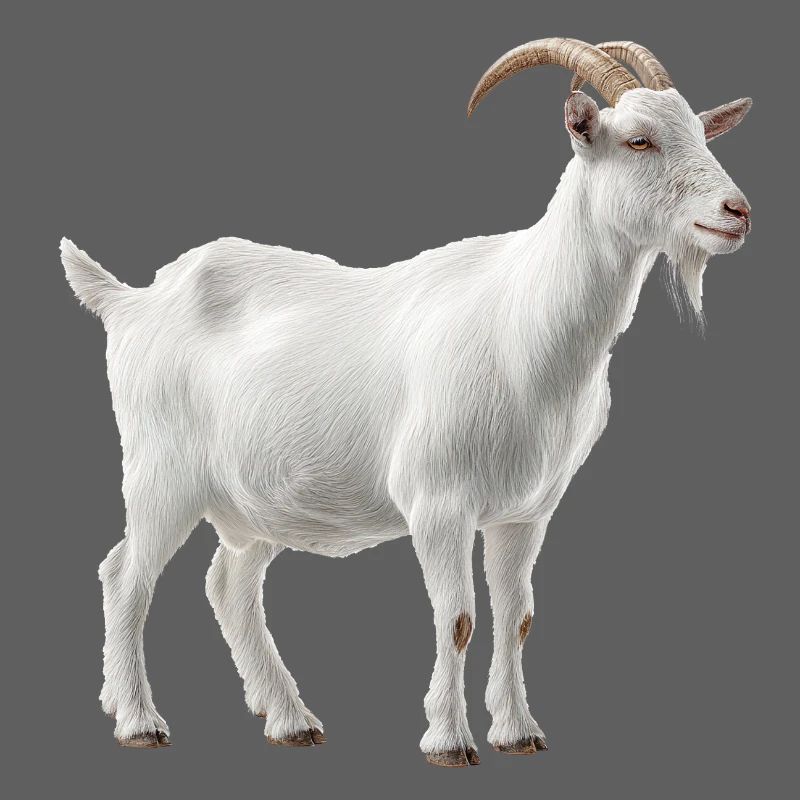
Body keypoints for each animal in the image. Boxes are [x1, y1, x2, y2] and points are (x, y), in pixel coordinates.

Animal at [62, 38, 751, 766]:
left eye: (701, 132)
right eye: (639, 140)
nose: (736, 212)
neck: (523, 321)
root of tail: (130, 301)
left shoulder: (524, 512)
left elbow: (518, 618)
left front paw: (518, 732)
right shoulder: (438, 501)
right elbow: (458, 618)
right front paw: (449, 740)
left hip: (253, 501)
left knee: (229, 584)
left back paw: (290, 719)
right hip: (160, 472)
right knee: (125, 577)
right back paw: (138, 720)